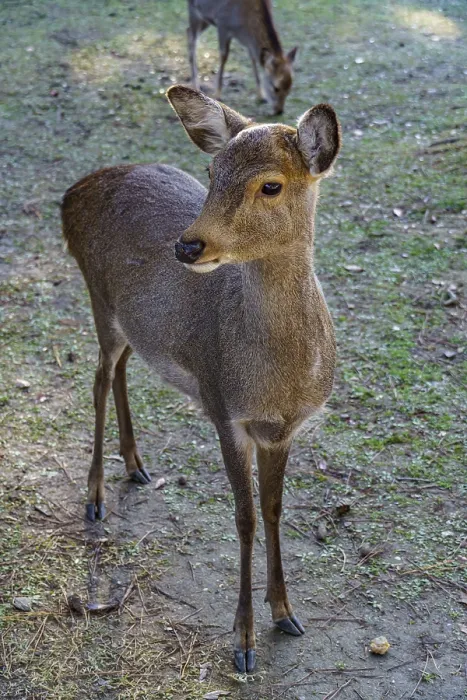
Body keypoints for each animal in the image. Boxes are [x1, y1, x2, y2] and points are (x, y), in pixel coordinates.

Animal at [61, 85, 340, 673]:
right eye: (212, 171)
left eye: (271, 184)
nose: (187, 246)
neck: (279, 383)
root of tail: (73, 194)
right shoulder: (222, 408)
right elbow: (245, 518)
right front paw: (244, 642)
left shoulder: (283, 429)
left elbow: (275, 509)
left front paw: (286, 612)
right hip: (98, 297)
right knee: (98, 378)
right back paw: (94, 496)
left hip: (133, 324)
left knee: (120, 370)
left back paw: (136, 466)